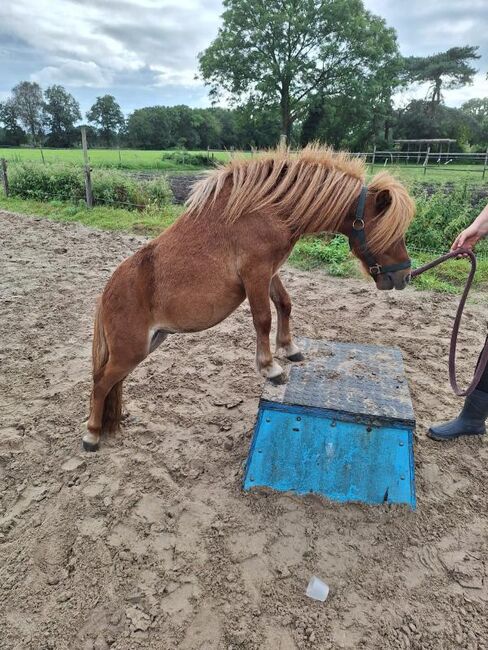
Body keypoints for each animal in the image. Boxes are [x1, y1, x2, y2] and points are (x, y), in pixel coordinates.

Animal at [82, 146, 414, 450]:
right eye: (390, 231)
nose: (404, 275)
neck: (268, 210)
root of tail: (106, 295)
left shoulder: (270, 272)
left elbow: (284, 304)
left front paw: (289, 348)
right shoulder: (256, 273)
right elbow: (263, 319)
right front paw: (270, 368)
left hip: (150, 342)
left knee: (112, 382)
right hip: (131, 351)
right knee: (100, 382)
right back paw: (92, 434)